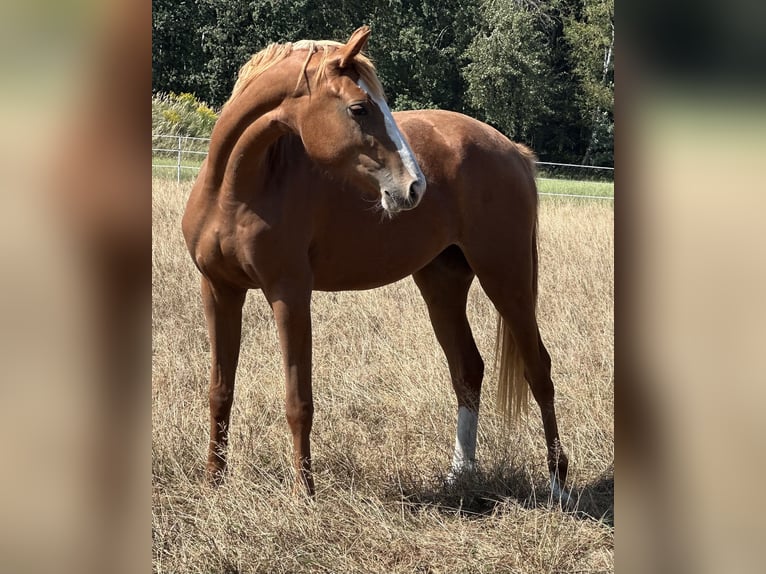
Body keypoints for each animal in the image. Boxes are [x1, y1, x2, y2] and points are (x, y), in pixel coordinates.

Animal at [183, 25, 568, 500]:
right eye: (359, 108)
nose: (415, 186)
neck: (236, 190)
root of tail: (512, 150)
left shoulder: (289, 294)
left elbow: (298, 401)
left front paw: (304, 495)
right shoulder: (219, 290)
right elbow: (220, 390)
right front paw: (213, 483)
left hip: (506, 278)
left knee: (539, 369)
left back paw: (557, 485)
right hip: (442, 283)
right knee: (467, 369)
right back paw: (460, 474)